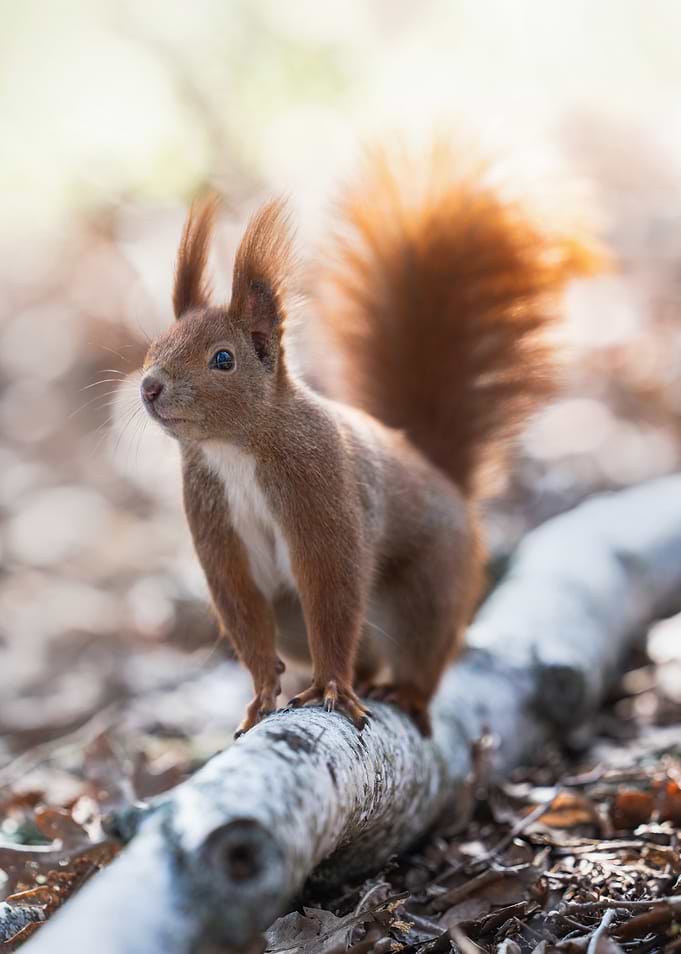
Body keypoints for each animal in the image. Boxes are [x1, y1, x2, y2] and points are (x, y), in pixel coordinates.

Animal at [140, 140, 600, 737]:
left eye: (223, 359)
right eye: (153, 346)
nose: (150, 387)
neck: (235, 450)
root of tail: (443, 478)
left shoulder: (321, 491)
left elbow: (333, 589)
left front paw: (330, 687)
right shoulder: (215, 524)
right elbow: (242, 608)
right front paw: (262, 694)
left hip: (429, 590)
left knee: (420, 653)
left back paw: (403, 691)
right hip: (297, 615)